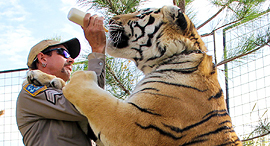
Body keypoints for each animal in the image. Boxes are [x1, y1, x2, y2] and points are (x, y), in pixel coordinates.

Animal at [28, 5, 243, 145]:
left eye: (140, 14)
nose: (110, 21)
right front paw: (39, 76)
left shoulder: (135, 125)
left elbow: (93, 97)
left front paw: (79, 77)